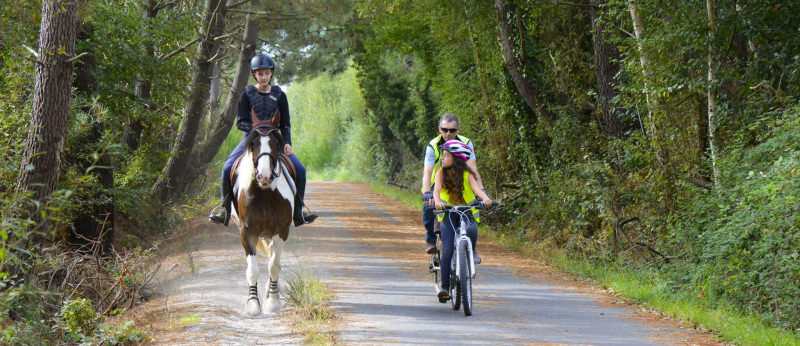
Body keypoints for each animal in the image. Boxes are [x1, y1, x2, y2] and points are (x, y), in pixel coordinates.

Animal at [230, 124, 296, 316]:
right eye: (253, 144)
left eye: (275, 143)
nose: (264, 176)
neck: (265, 193)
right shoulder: (247, 232)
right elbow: (252, 269)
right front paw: (253, 303)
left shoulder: (282, 231)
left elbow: (274, 266)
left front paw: (272, 302)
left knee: (272, 256)